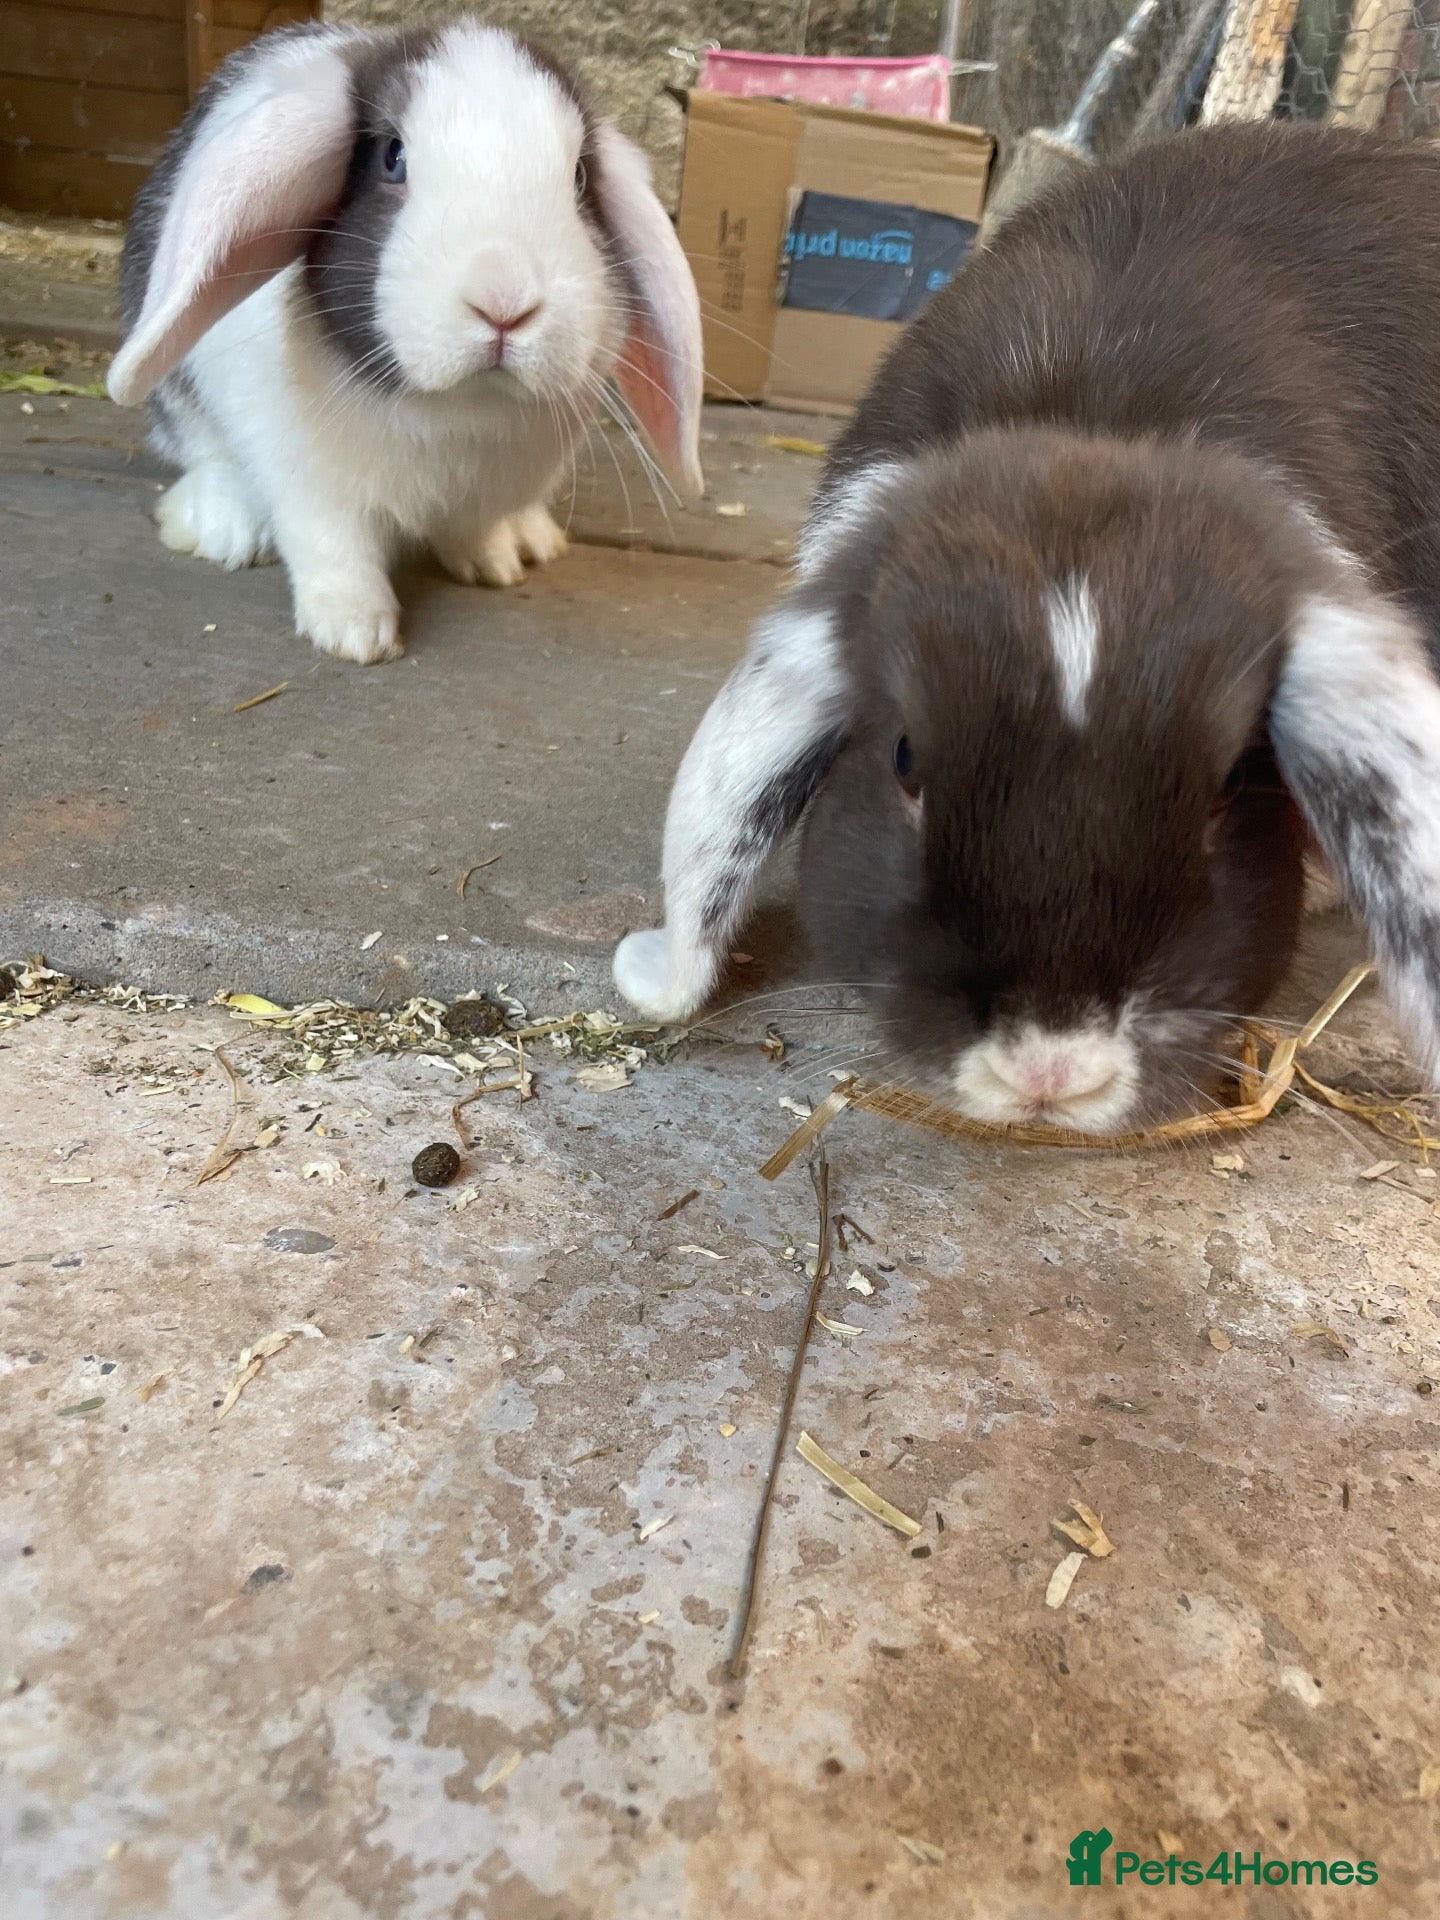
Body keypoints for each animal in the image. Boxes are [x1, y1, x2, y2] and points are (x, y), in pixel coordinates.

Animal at [107, 15, 703, 665]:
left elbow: (473, 528)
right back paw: (226, 527)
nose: (504, 303)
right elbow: (333, 547)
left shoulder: (480, 495)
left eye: (579, 178)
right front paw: (355, 632)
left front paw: (493, 564)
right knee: (205, 453)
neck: (457, 410)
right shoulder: (311, 484)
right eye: (393, 158)